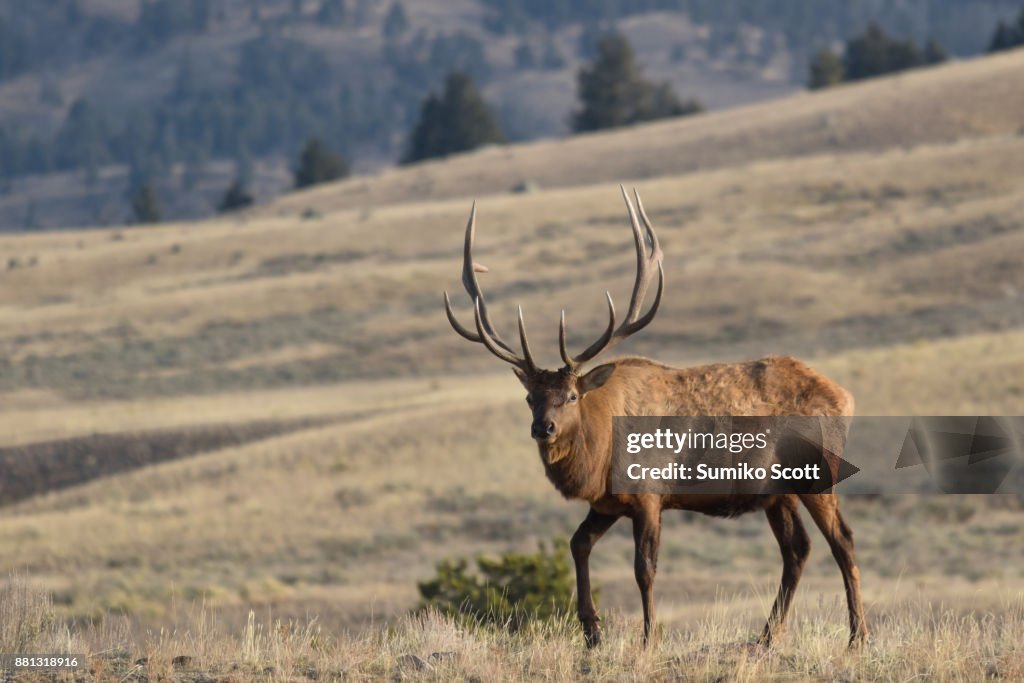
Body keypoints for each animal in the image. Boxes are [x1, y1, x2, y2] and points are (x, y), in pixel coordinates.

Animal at [444, 188, 868, 651]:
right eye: (529, 397)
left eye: (571, 396)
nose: (544, 428)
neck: (598, 453)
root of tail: (845, 397)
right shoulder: (607, 502)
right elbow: (578, 543)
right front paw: (592, 631)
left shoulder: (648, 494)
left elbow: (644, 567)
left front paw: (648, 639)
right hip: (778, 493)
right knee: (797, 549)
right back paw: (767, 637)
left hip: (817, 473)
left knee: (842, 541)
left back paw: (857, 636)